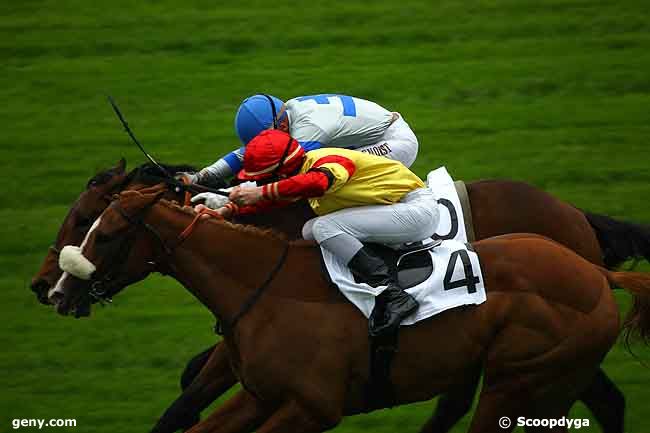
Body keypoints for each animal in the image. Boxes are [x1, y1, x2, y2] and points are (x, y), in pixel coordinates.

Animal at [34, 159, 648, 432]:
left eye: (95, 227)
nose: (50, 287)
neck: (266, 275)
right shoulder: (257, 392)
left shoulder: (309, 406)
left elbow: (188, 395)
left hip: (522, 381)